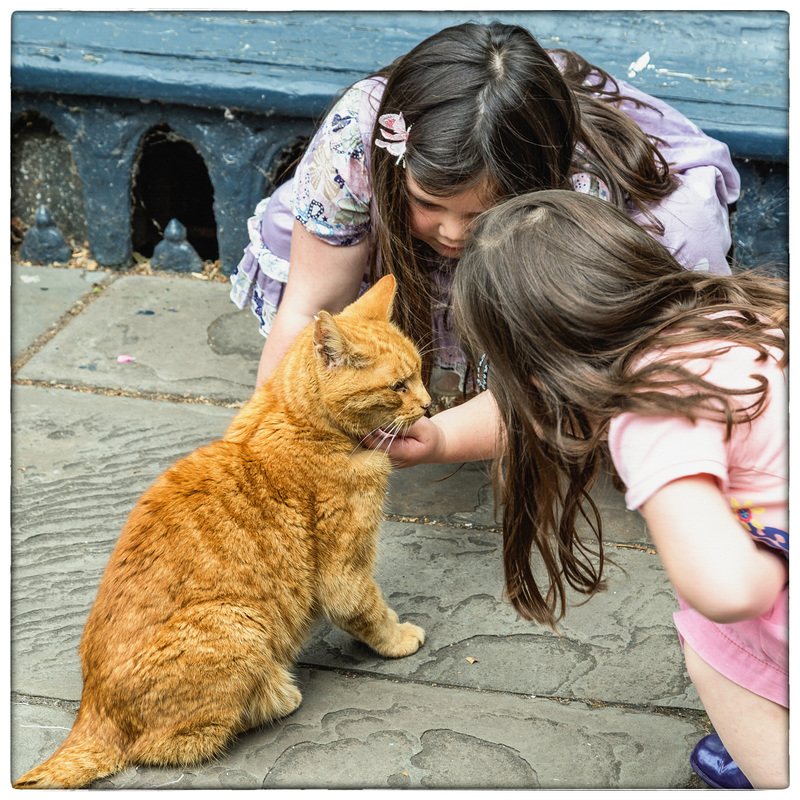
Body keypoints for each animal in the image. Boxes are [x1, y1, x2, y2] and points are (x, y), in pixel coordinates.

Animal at [12, 276, 428, 788]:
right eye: (398, 386)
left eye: (422, 375)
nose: (429, 405)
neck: (297, 419)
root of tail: (91, 710)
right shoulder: (344, 573)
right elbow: (371, 612)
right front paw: (400, 639)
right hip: (237, 622)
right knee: (172, 744)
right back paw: (277, 695)